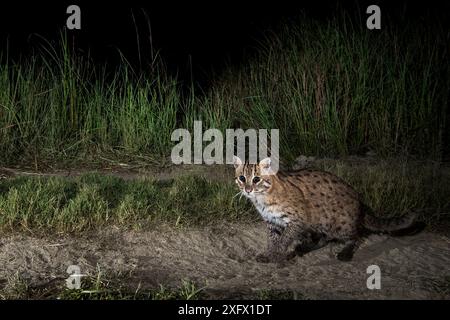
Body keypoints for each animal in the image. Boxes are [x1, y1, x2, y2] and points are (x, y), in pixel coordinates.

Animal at [234, 156, 420, 262]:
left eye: (256, 179)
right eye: (242, 178)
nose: (247, 190)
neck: (262, 198)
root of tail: (360, 201)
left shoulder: (298, 219)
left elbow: (283, 239)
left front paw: (276, 255)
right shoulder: (273, 221)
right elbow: (273, 240)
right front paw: (269, 253)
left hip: (339, 224)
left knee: (356, 236)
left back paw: (346, 252)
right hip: (319, 222)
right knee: (324, 239)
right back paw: (305, 247)